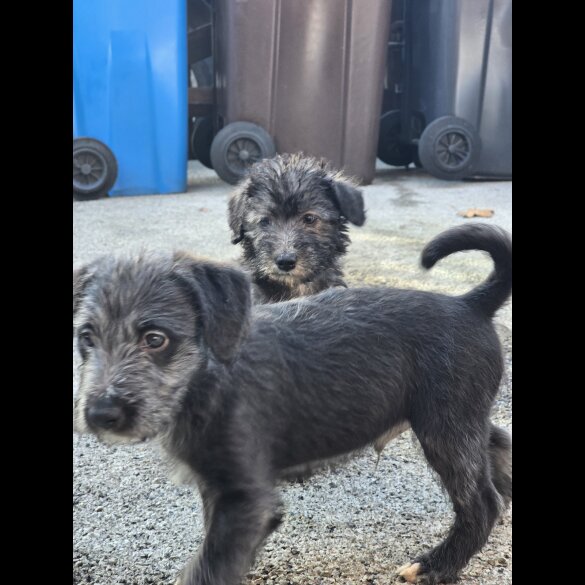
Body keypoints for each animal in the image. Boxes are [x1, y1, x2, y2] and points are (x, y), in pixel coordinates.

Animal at [73, 222, 512, 584]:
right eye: (86, 337)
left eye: (155, 339)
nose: (100, 414)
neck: (206, 379)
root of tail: (470, 303)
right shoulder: (220, 493)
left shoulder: (246, 500)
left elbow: (208, 567)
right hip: (462, 418)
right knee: (497, 447)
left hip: (445, 428)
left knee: (480, 504)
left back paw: (438, 564)